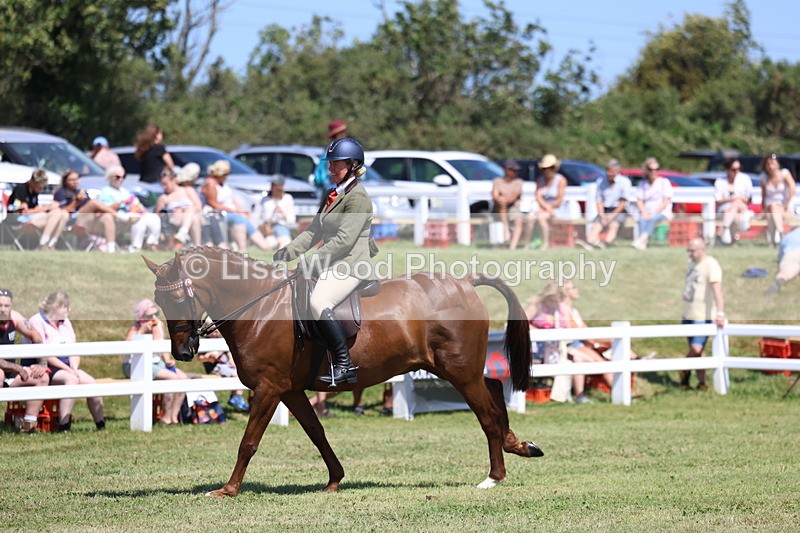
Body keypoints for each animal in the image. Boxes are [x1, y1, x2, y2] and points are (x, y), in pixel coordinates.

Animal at [144, 247, 543, 498]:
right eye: (160, 300)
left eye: (177, 298)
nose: (183, 352)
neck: (260, 307)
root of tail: (465, 283)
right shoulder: (290, 390)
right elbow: (317, 434)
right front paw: (335, 480)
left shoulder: (269, 388)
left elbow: (249, 442)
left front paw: (228, 490)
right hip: (454, 369)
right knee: (494, 387)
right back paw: (519, 445)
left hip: (458, 372)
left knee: (486, 413)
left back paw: (494, 477)